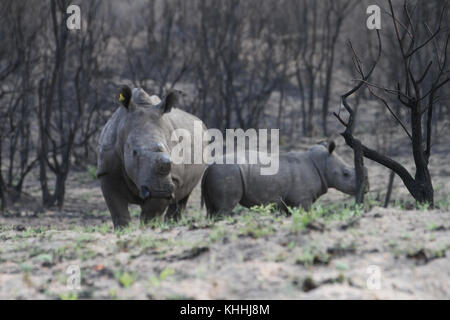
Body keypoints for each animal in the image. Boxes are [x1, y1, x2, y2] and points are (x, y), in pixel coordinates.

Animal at [97, 86, 207, 229]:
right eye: (134, 152)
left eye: (171, 152)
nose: (161, 190)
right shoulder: (107, 172)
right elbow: (119, 212)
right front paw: (123, 230)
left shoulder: (172, 179)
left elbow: (151, 214)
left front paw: (148, 227)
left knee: (184, 195)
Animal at [200, 142, 366, 218]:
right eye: (346, 174)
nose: (365, 187)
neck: (322, 163)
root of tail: (208, 167)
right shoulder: (303, 199)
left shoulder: (289, 202)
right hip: (227, 172)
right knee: (225, 209)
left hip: (218, 173)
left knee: (211, 210)